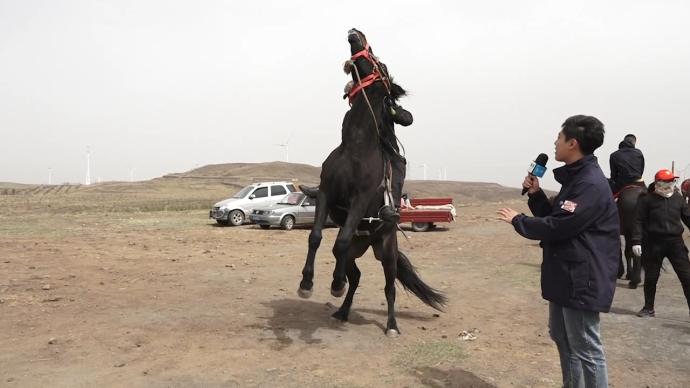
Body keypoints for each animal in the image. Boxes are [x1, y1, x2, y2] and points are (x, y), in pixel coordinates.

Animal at [296, 28, 446, 336]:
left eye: (381, 62)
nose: (357, 33)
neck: (354, 146)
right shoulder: (327, 193)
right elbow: (316, 237)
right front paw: (306, 284)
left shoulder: (360, 199)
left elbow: (339, 241)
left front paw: (334, 285)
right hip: (357, 252)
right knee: (355, 276)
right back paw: (342, 310)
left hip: (387, 253)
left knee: (389, 287)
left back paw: (391, 325)